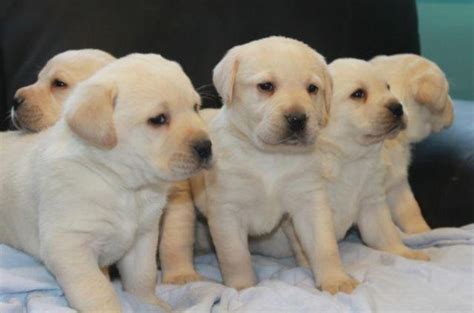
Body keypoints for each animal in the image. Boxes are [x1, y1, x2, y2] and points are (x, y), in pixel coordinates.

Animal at [0, 53, 211, 312]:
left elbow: (143, 277)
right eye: (159, 119)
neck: (121, 184)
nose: (206, 147)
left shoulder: (143, 238)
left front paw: (150, 304)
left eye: (195, 108)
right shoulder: (69, 245)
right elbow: (99, 291)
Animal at [161, 36, 358, 292]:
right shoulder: (227, 211)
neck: (269, 156)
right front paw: (242, 287)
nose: (297, 119)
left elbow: (325, 245)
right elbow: (236, 257)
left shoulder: (309, 200)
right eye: (266, 86)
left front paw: (336, 280)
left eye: (312, 89)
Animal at [248, 57, 430, 292]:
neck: (348, 158)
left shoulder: (372, 203)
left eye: (388, 87)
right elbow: (310, 245)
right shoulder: (303, 206)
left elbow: (386, 235)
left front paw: (407, 253)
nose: (398, 107)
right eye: (358, 94)